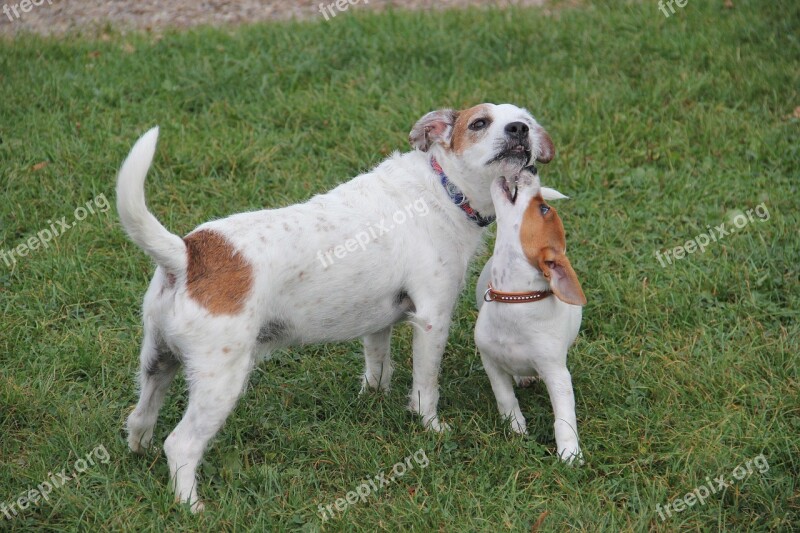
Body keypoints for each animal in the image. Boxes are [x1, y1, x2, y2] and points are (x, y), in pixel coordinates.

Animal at [119, 103, 556, 508]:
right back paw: (192, 506)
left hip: (157, 361)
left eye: (526, 122)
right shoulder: (432, 319)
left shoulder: (379, 322)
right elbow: (425, 386)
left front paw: (372, 400)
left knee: (139, 417)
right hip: (220, 381)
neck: (442, 187)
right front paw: (430, 427)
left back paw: (140, 452)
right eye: (480, 123)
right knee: (181, 444)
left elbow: (377, 368)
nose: (519, 130)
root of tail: (188, 255)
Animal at [472, 169, 584, 462]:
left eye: (544, 208)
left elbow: (564, 417)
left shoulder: (557, 374)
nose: (532, 169)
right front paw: (515, 428)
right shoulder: (491, 362)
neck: (516, 299)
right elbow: (505, 397)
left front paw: (569, 452)